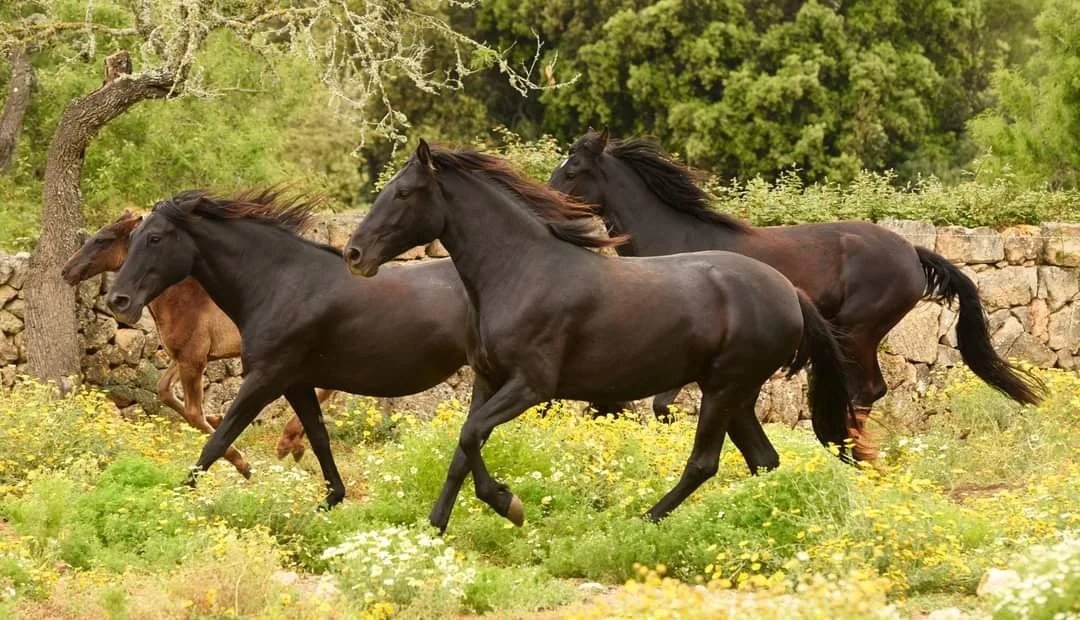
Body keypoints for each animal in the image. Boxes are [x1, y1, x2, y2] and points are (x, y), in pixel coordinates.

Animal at [61, 211, 334, 470]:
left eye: (103, 239)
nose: (67, 271)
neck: (183, 299)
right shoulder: (183, 358)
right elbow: (165, 391)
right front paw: (218, 420)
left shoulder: (193, 359)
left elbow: (193, 413)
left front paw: (242, 464)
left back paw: (288, 442)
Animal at [104, 189, 471, 507]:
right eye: (131, 241)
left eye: (155, 238)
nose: (118, 301)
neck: (282, 283)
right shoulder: (297, 383)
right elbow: (320, 438)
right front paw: (330, 499)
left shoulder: (265, 379)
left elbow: (218, 439)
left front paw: (178, 500)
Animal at [344, 141, 853, 532]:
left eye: (403, 193)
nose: (353, 254)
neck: (520, 273)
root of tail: (789, 292)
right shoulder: (487, 380)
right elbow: (463, 448)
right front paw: (436, 525)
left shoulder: (531, 386)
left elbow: (470, 436)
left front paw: (510, 505)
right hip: (736, 395)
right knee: (763, 459)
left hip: (726, 388)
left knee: (704, 463)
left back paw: (644, 520)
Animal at [549, 129, 1046, 459]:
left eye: (572, 170)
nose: (546, 204)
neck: (673, 239)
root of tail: (911, 250)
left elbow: (661, 405)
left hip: (858, 329)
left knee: (867, 389)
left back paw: (855, 454)